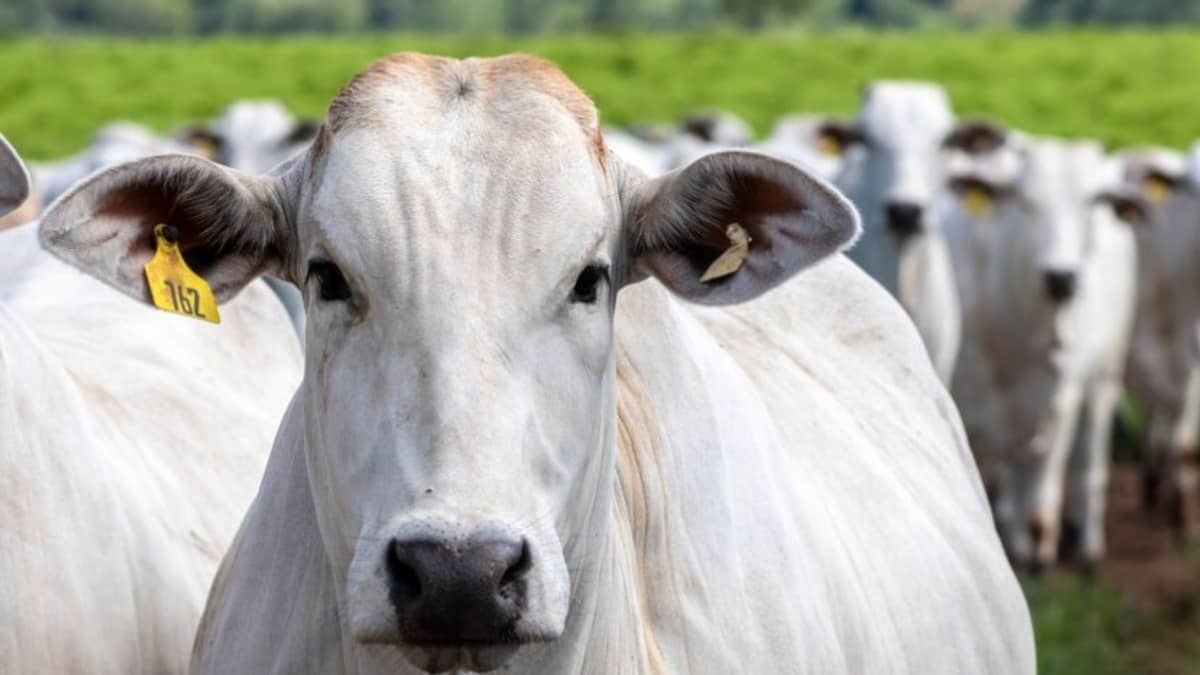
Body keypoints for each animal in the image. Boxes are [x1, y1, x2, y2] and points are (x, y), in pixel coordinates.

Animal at [941, 128, 1137, 570]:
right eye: (1024, 200)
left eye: (1092, 201)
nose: (1061, 277)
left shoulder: (1060, 397)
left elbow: (1043, 475)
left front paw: (1039, 550)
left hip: (1105, 374)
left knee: (1087, 462)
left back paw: (1086, 545)